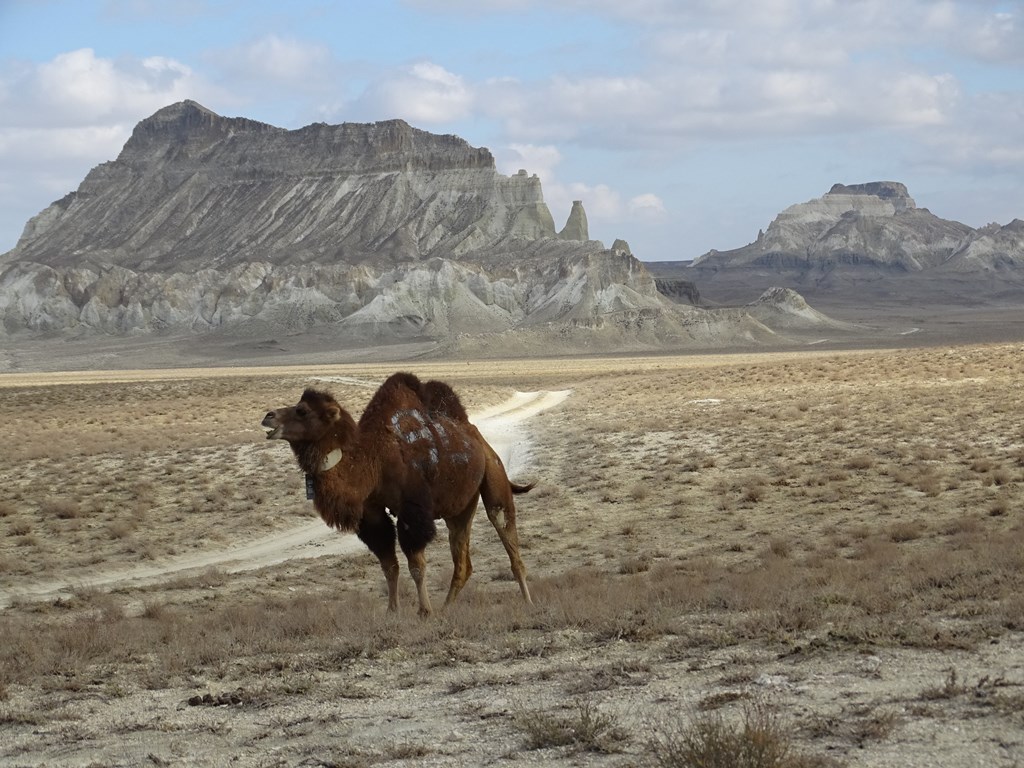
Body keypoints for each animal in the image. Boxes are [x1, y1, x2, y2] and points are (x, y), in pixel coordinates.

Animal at [262, 372, 536, 618]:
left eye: (302, 410)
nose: (268, 416)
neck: (375, 459)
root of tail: (479, 440)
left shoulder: (412, 510)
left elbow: (416, 565)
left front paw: (424, 611)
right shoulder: (371, 513)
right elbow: (389, 565)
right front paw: (392, 611)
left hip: (494, 477)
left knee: (505, 532)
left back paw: (527, 602)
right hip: (459, 508)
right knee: (462, 563)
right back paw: (446, 609)